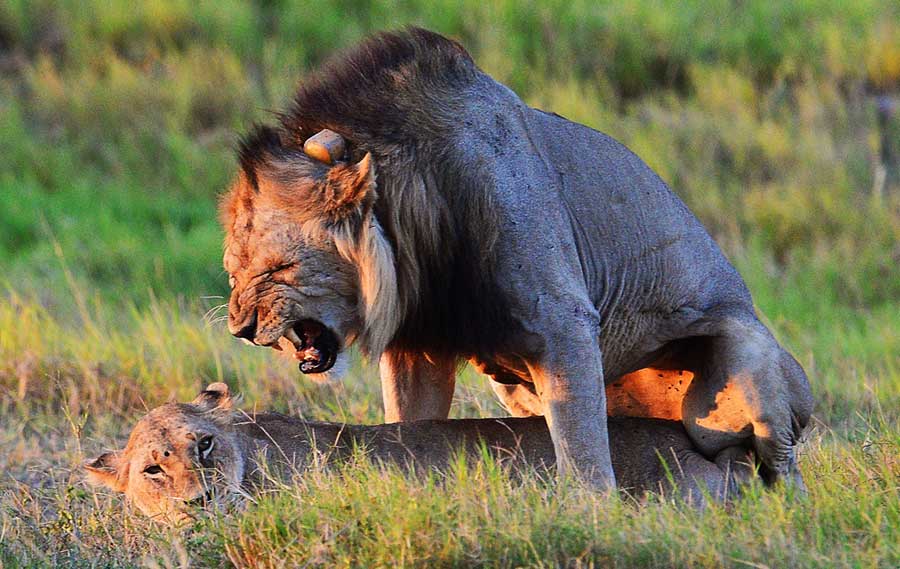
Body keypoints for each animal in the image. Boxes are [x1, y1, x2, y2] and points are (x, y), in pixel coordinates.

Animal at [220, 26, 816, 488]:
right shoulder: (418, 349)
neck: (415, 216)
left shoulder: (566, 324)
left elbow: (584, 459)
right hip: (512, 389)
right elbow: (408, 427)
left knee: (780, 468)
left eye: (278, 268)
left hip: (751, 366)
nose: (240, 329)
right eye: (233, 271)